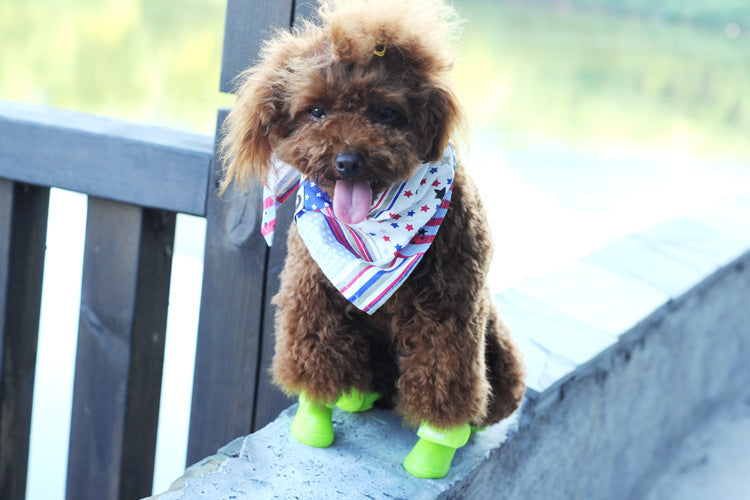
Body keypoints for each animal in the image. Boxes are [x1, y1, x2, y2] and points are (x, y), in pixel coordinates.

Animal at [220, 0, 524, 478]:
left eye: (385, 114)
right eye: (317, 112)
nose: (347, 161)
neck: (375, 230)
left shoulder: (450, 311)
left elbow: (443, 377)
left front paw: (434, 452)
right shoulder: (313, 295)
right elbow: (315, 357)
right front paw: (313, 421)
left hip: (503, 360)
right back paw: (356, 394)